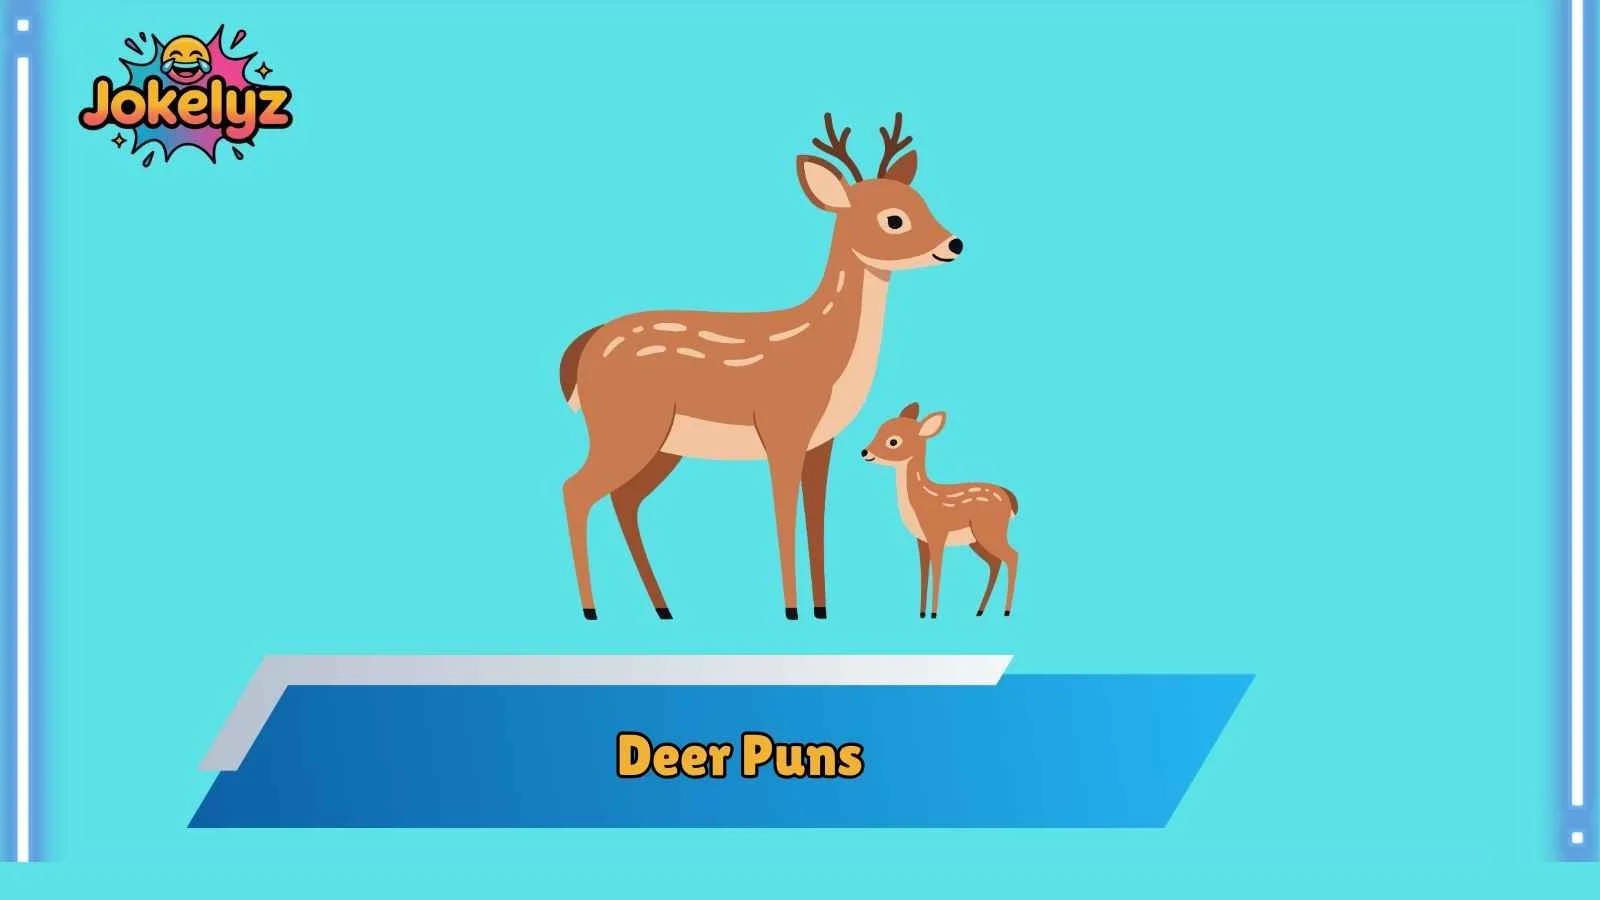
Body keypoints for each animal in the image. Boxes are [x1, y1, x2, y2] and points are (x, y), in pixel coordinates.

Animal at [557, 114, 962, 620]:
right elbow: (783, 517)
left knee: (623, 501)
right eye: (894, 218)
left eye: (922, 201)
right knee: (575, 491)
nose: (955, 243)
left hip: (660, 444)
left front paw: (821, 609)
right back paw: (592, 610)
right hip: (626, 427)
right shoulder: (783, 428)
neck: (825, 352)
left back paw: (664, 608)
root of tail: (581, 350)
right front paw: (791, 610)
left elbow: (816, 518)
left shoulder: (822, 441)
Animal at [860, 403, 1019, 618]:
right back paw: (979, 611)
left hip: (990, 530)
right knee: (995, 563)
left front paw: (934, 614)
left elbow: (937, 571)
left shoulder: (937, 533)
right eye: (879, 428)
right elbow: (923, 572)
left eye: (893, 441)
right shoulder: (921, 539)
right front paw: (922, 613)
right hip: (977, 540)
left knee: (1012, 556)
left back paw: (1006, 611)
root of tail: (1010, 500)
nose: (864, 451)